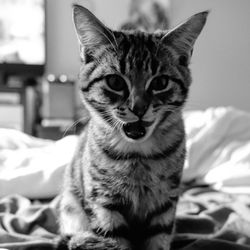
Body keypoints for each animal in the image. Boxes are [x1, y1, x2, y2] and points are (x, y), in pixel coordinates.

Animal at [57, 4, 208, 250]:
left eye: (160, 83)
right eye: (115, 82)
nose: (138, 108)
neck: (138, 157)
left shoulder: (165, 204)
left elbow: (158, 239)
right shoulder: (104, 204)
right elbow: (114, 240)